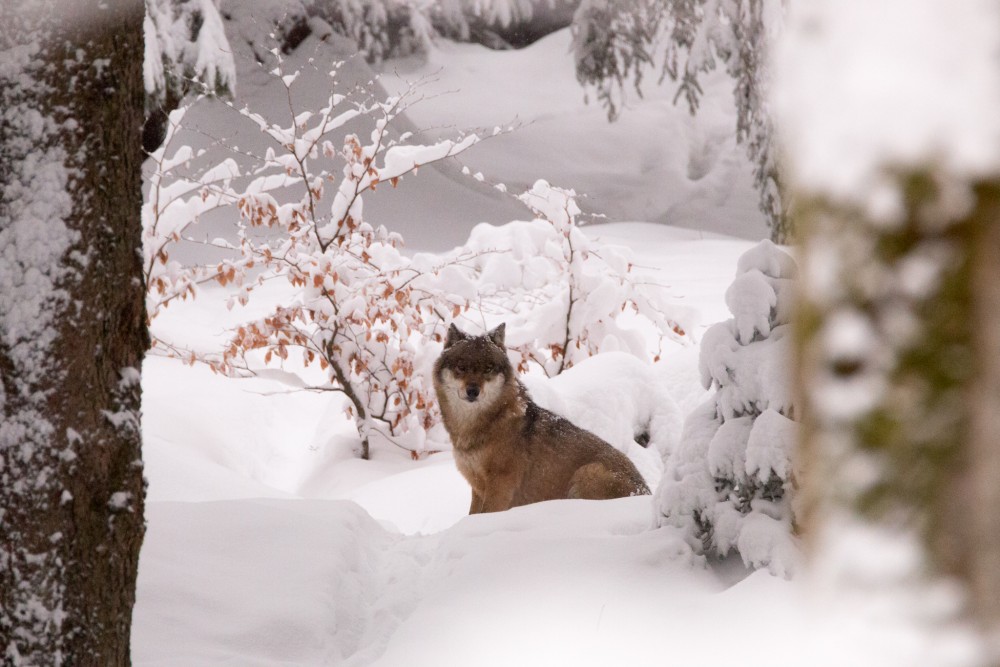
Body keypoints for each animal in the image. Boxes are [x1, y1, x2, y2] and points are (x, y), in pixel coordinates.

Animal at [434, 324, 652, 516]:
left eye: (488, 368)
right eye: (461, 366)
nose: (473, 391)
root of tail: (646, 492)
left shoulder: (499, 486)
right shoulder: (477, 487)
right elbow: (471, 515)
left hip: (588, 472)